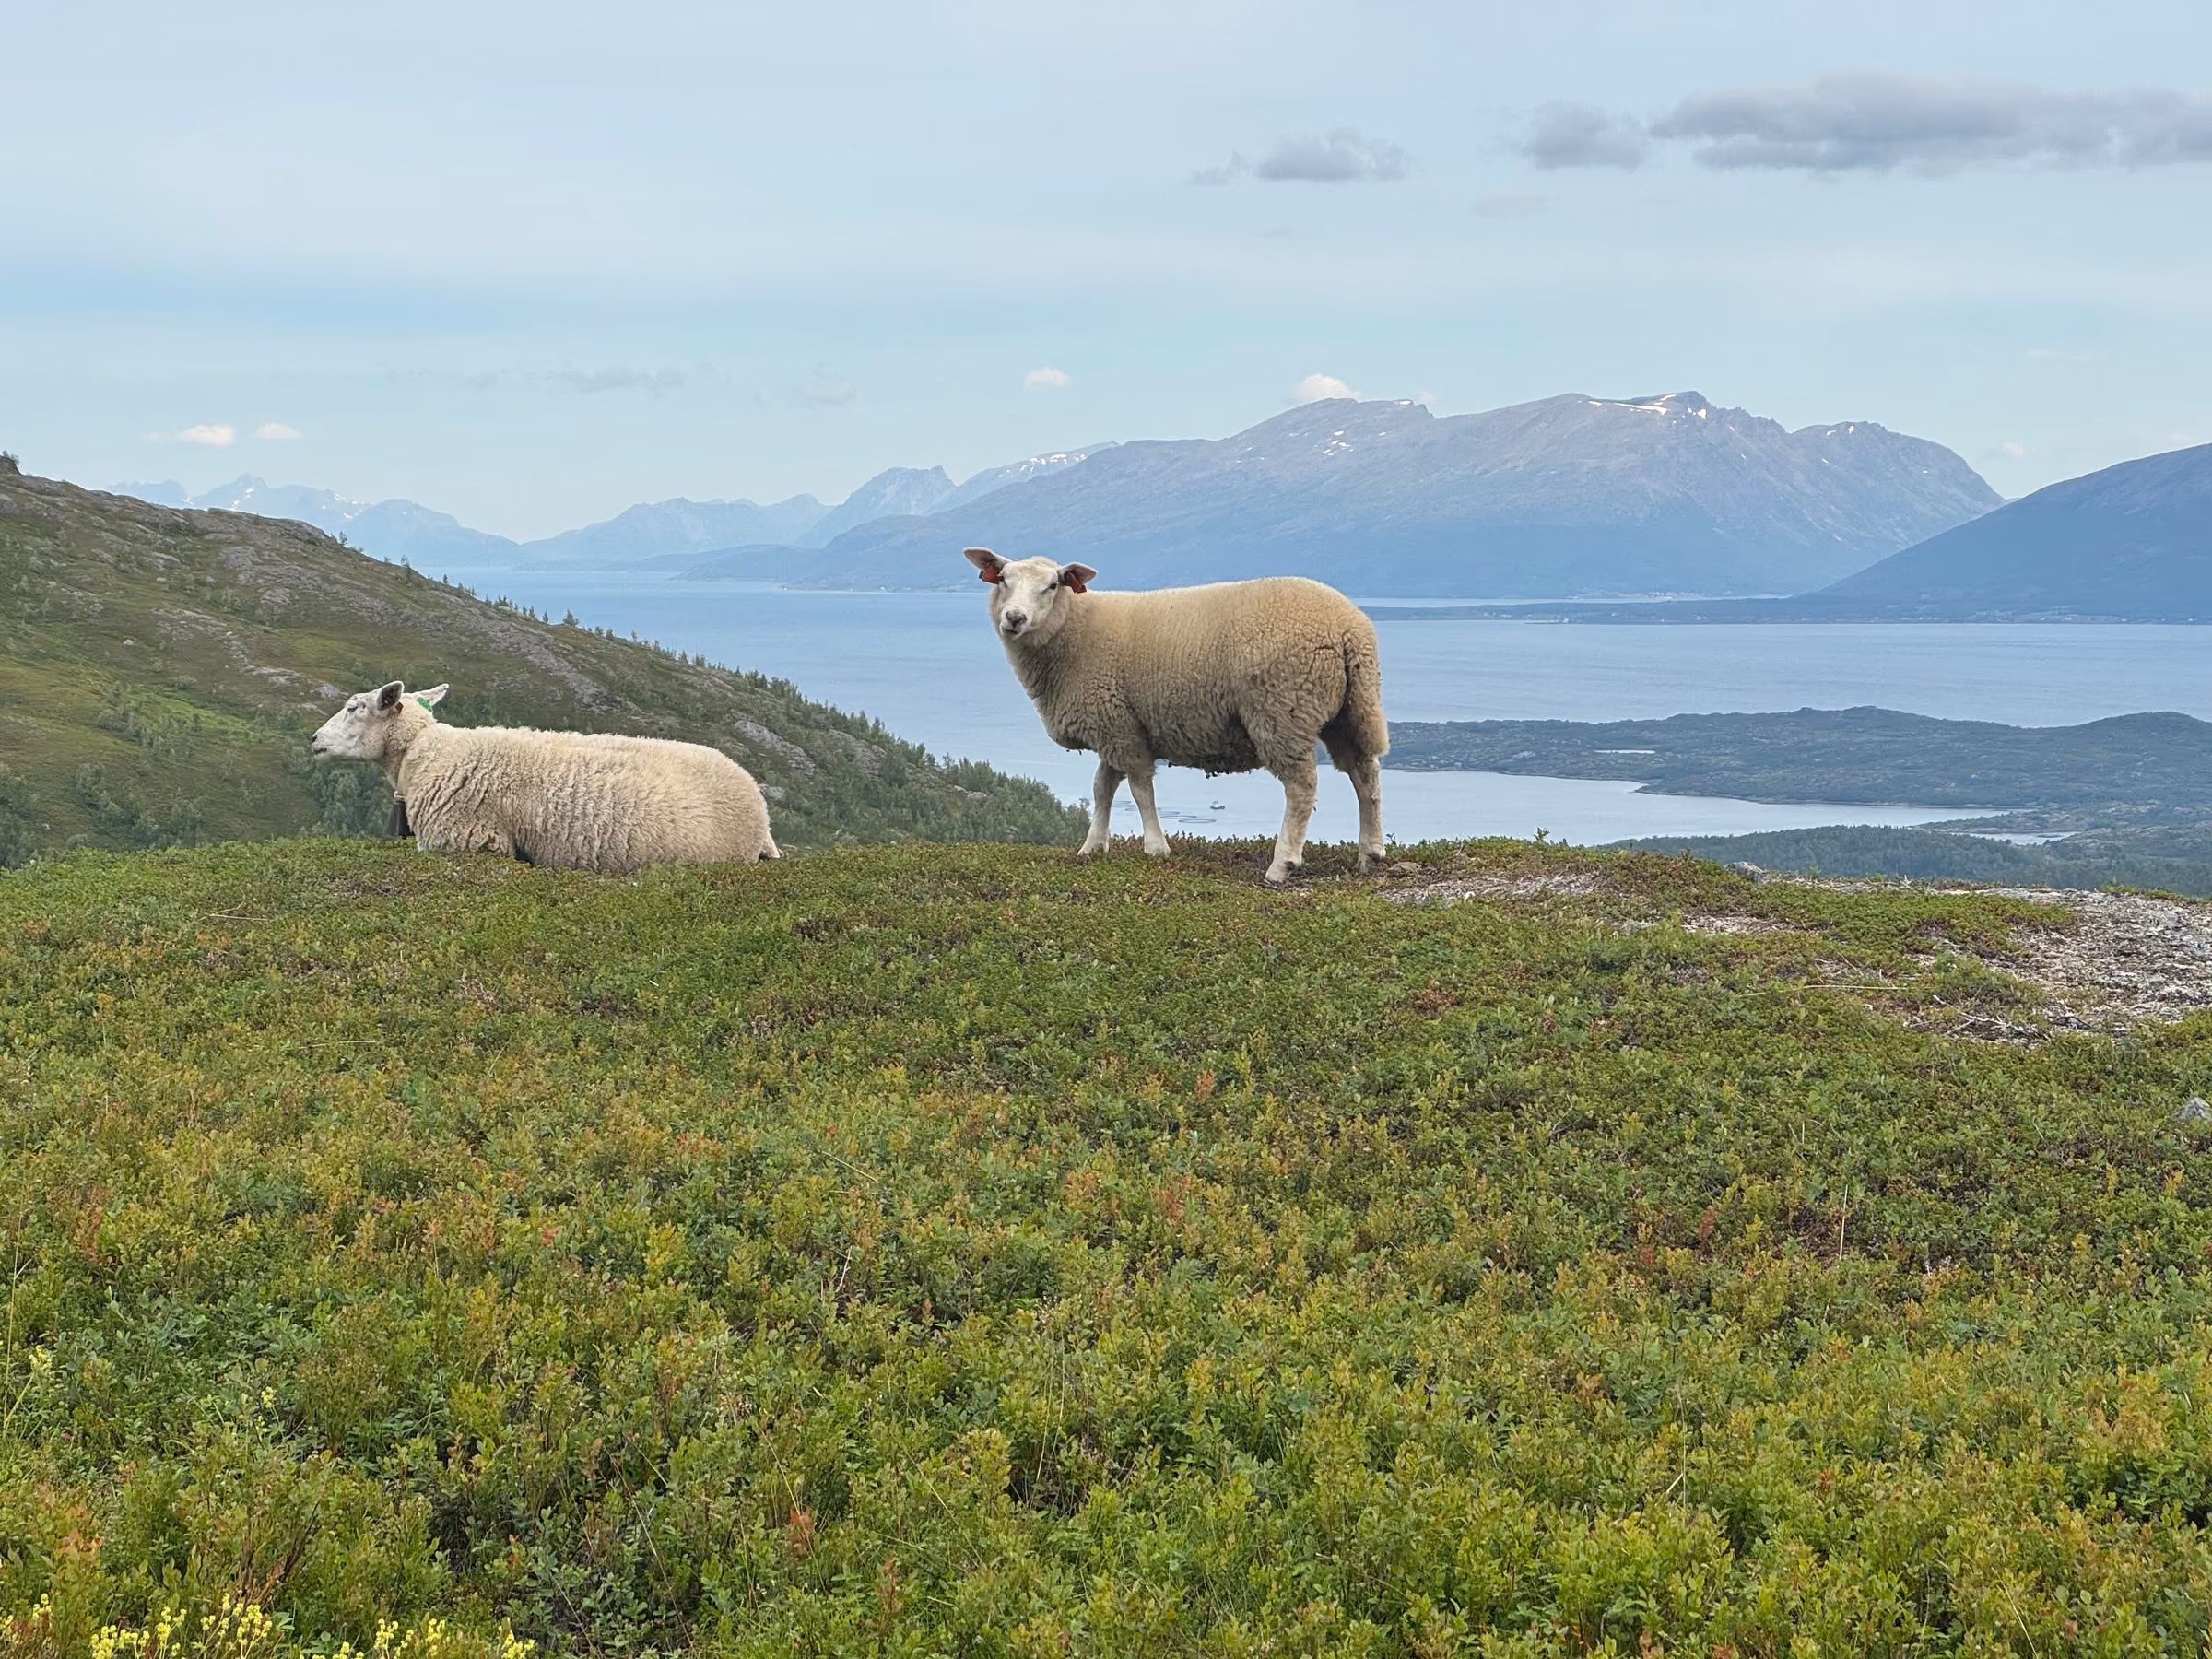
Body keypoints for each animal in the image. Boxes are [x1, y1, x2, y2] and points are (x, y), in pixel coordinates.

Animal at [965, 548, 1387, 883]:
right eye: (1002, 579)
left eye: (1053, 585)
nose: (1014, 618)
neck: (1073, 631)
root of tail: (1349, 626)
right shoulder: (1115, 722)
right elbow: (1102, 788)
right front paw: (1093, 846)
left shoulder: (1118, 727)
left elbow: (1139, 788)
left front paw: (1155, 846)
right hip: (1348, 711)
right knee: (1365, 774)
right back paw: (1371, 853)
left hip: (1283, 710)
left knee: (1302, 788)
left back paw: (1282, 864)